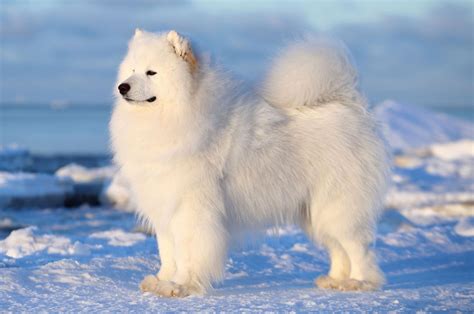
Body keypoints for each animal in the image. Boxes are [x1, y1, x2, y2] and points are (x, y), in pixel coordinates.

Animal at [110, 28, 388, 296]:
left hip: (337, 206)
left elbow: (187, 253)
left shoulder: (191, 209)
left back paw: (359, 282)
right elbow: (168, 252)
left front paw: (179, 286)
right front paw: (160, 281)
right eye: (132, 70)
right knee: (338, 248)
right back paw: (335, 280)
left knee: (358, 249)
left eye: (151, 72)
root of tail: (351, 104)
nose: (123, 87)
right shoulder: (164, 207)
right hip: (315, 212)